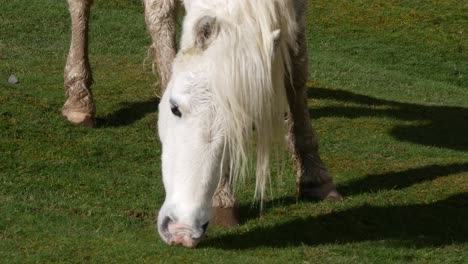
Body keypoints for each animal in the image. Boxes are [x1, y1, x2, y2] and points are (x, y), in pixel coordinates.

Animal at [62, 0, 340, 248]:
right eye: (174, 109)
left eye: (245, 126)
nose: (182, 231)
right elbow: (160, 23)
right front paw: (222, 197)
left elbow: (297, 68)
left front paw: (315, 176)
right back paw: (79, 99)